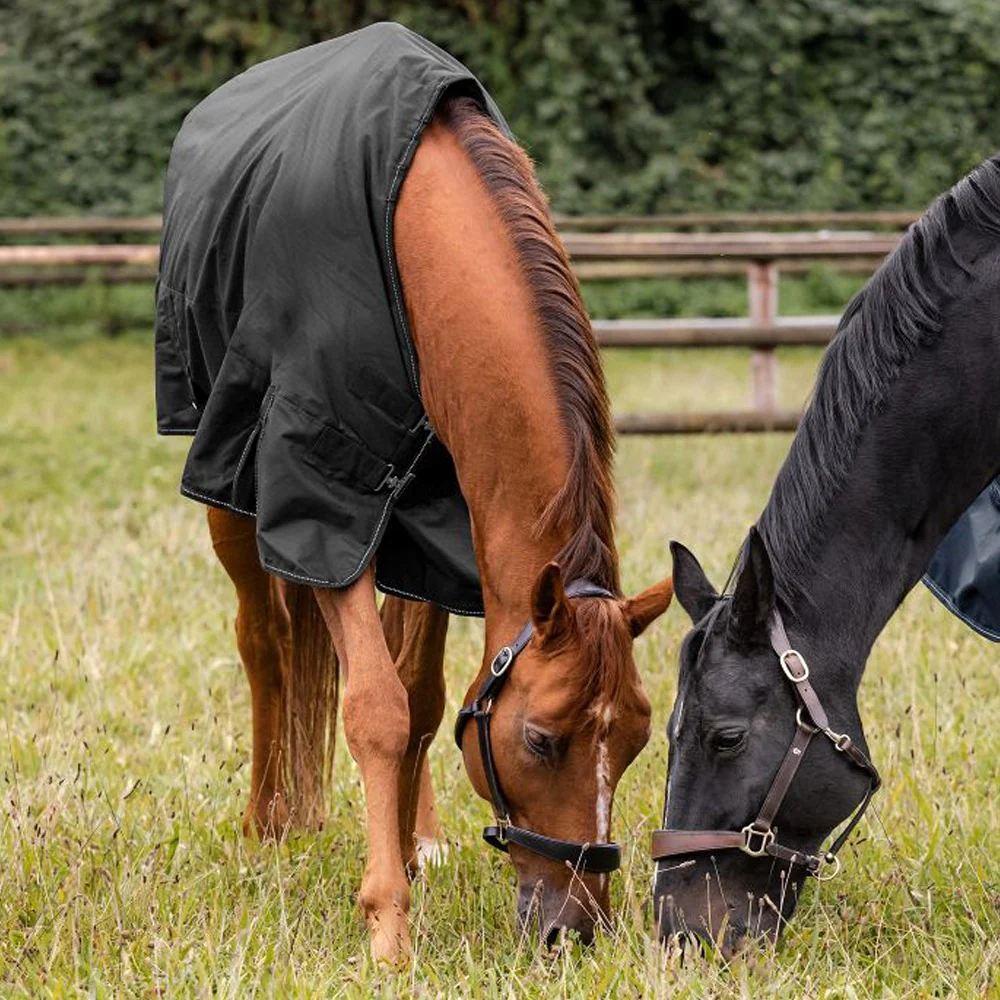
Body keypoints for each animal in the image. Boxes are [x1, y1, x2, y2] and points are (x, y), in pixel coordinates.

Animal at [159, 25, 672, 964]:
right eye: (543, 741)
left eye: (636, 737)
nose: (576, 929)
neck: (415, 232)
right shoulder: (324, 501)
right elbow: (375, 709)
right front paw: (387, 924)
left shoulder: (443, 527)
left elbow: (425, 703)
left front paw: (403, 854)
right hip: (225, 480)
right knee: (262, 639)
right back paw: (267, 824)